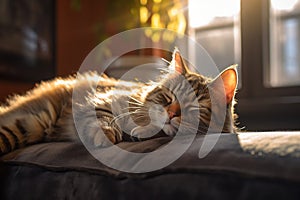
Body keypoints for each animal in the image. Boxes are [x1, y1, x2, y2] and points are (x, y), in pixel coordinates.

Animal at [0, 48, 238, 155]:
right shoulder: (104, 100)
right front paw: (107, 134)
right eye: (168, 97)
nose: (171, 114)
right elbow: (105, 119)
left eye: (194, 107)